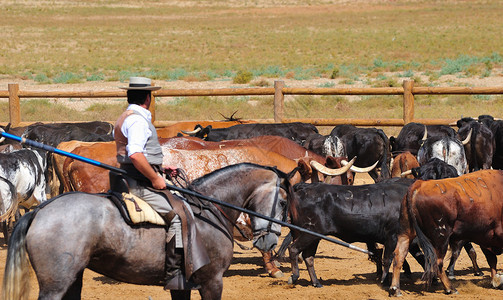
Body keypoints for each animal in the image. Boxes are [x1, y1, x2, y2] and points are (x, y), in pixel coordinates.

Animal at [2, 163, 296, 298]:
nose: (270, 242)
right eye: (282, 202)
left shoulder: (183, 284)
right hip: (55, 284)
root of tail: (41, 210)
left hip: (72, 279)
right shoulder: (212, 280)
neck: (208, 211)